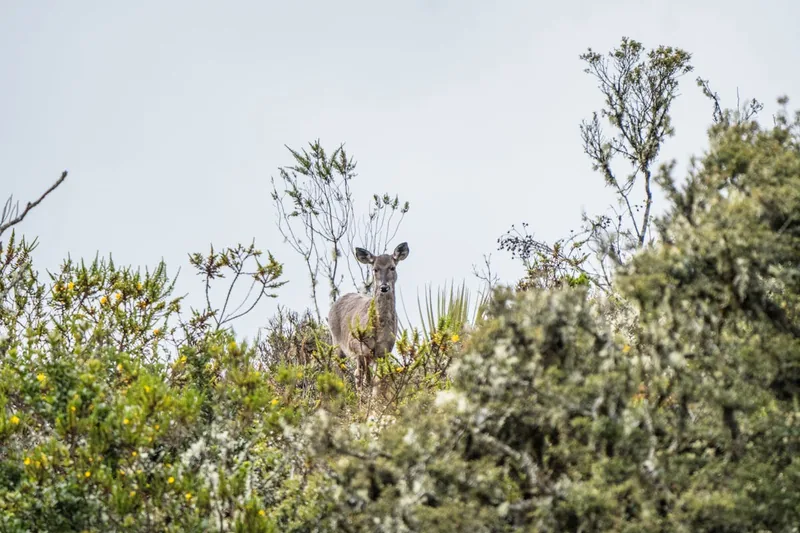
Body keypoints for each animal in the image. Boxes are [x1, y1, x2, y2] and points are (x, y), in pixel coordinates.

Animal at [328, 242, 409, 393]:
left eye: (392, 267)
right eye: (375, 269)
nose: (384, 287)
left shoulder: (385, 350)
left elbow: (378, 382)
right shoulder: (354, 343)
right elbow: (364, 369)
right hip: (336, 343)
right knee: (341, 372)